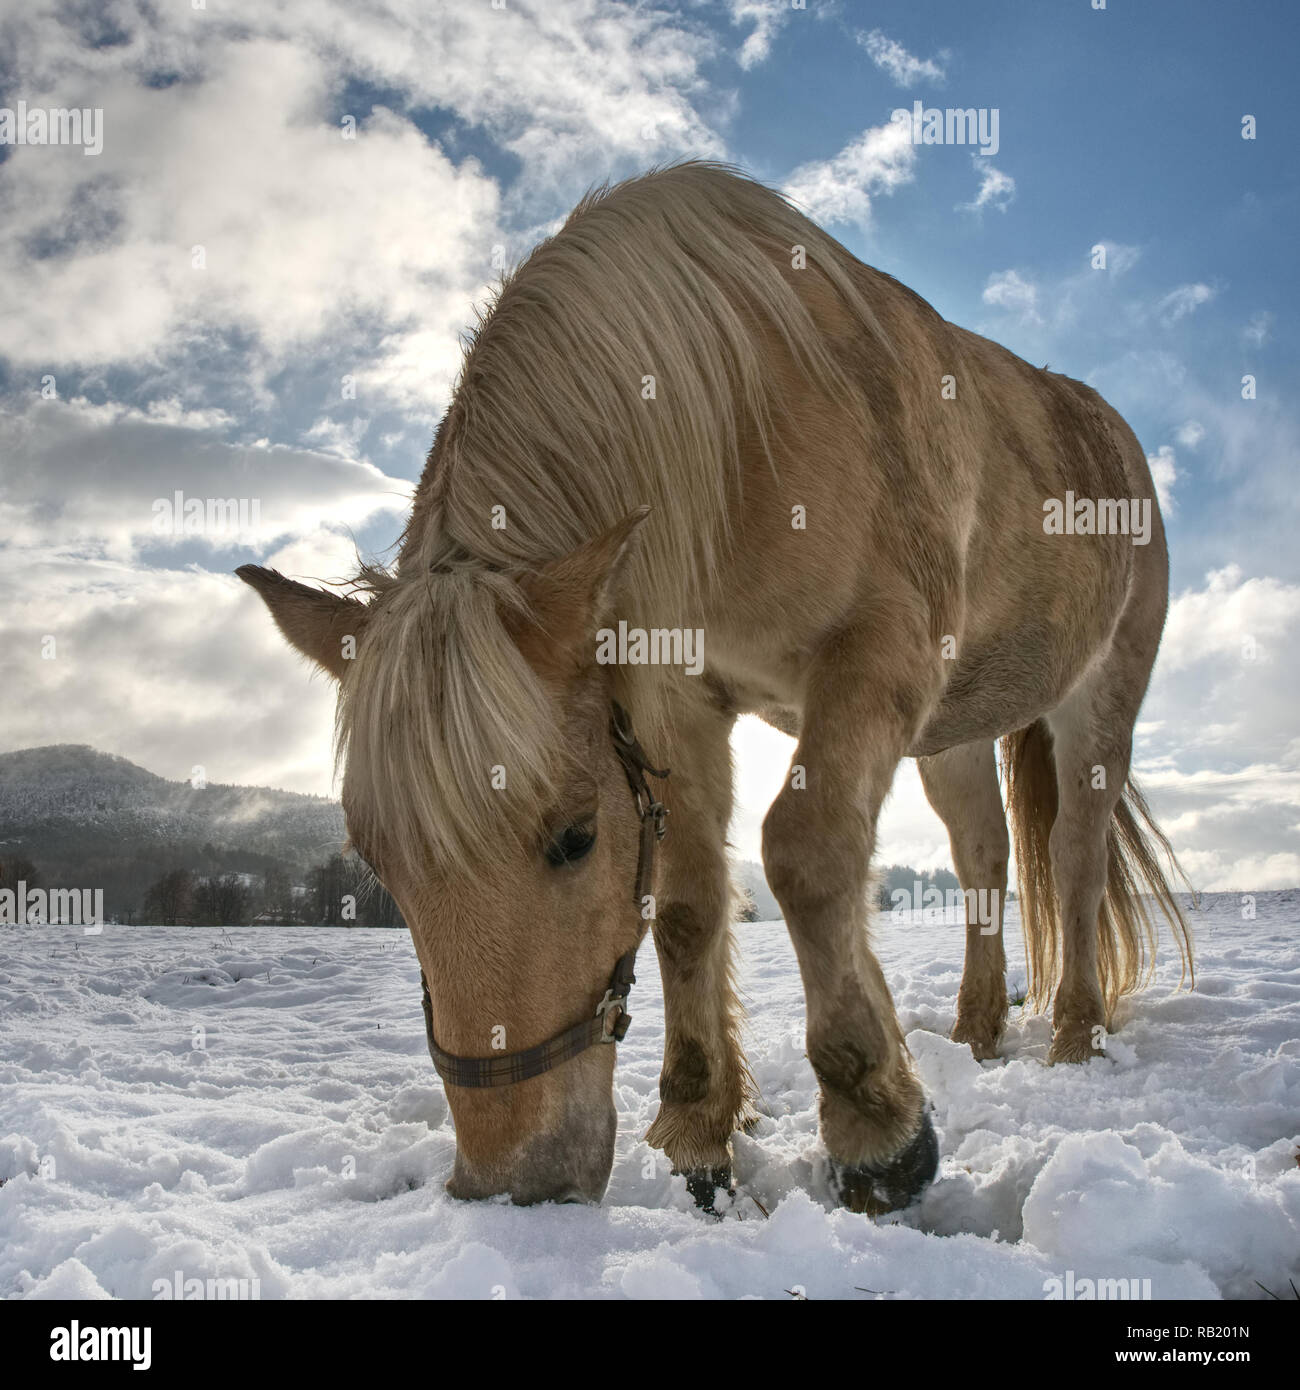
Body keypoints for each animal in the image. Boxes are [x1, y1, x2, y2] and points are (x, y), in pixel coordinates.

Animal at [238, 161, 1192, 1213]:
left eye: (575, 837)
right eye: (381, 868)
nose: (512, 1183)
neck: (745, 430)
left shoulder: (876, 659)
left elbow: (807, 855)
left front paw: (877, 1128)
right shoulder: (678, 700)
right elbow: (691, 902)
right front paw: (701, 1131)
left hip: (1098, 701)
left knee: (1073, 855)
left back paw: (1074, 1035)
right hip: (952, 735)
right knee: (985, 855)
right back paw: (975, 1034)